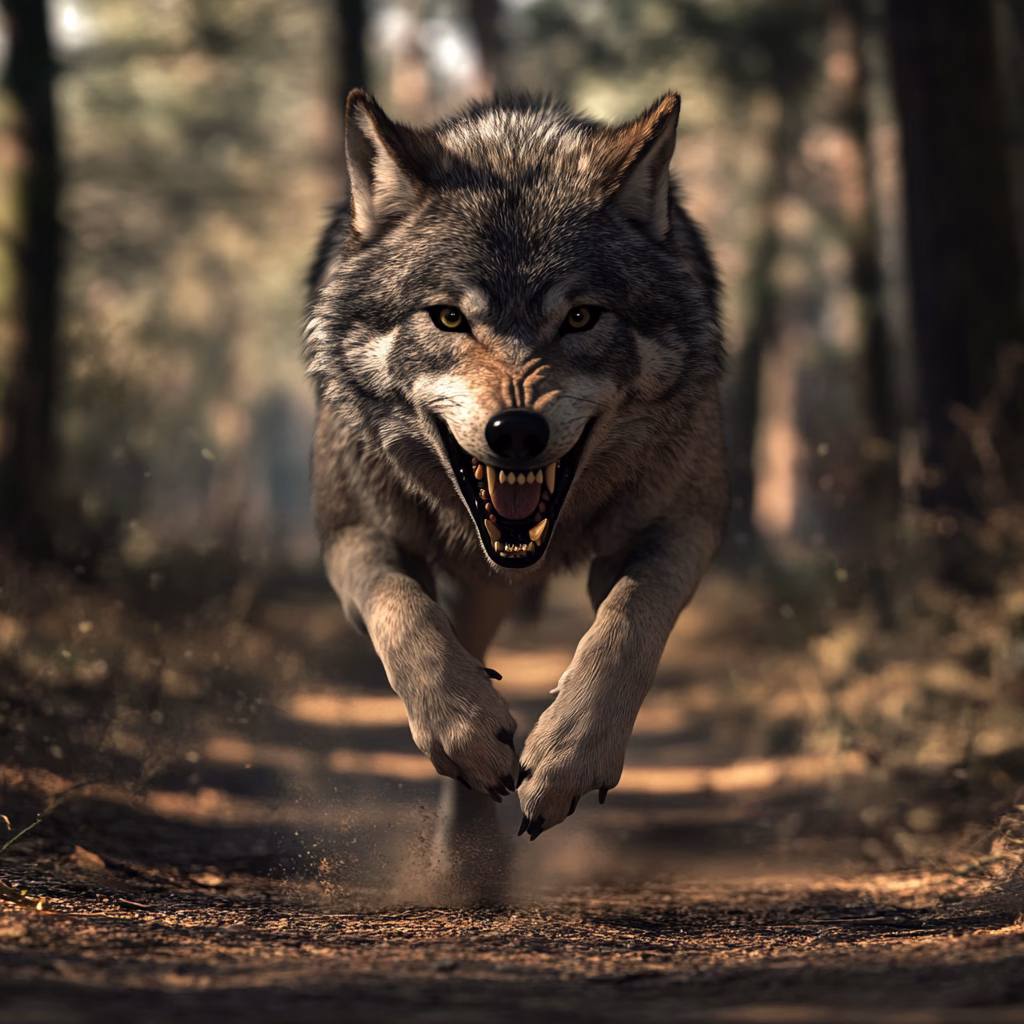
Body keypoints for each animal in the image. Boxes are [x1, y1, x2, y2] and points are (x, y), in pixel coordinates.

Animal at [304, 89, 727, 870]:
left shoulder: (684, 525)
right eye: (448, 317)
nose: (517, 432)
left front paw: (567, 757)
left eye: (581, 317)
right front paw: (467, 730)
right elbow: (402, 614)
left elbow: (627, 624)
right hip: (470, 583)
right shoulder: (349, 533)